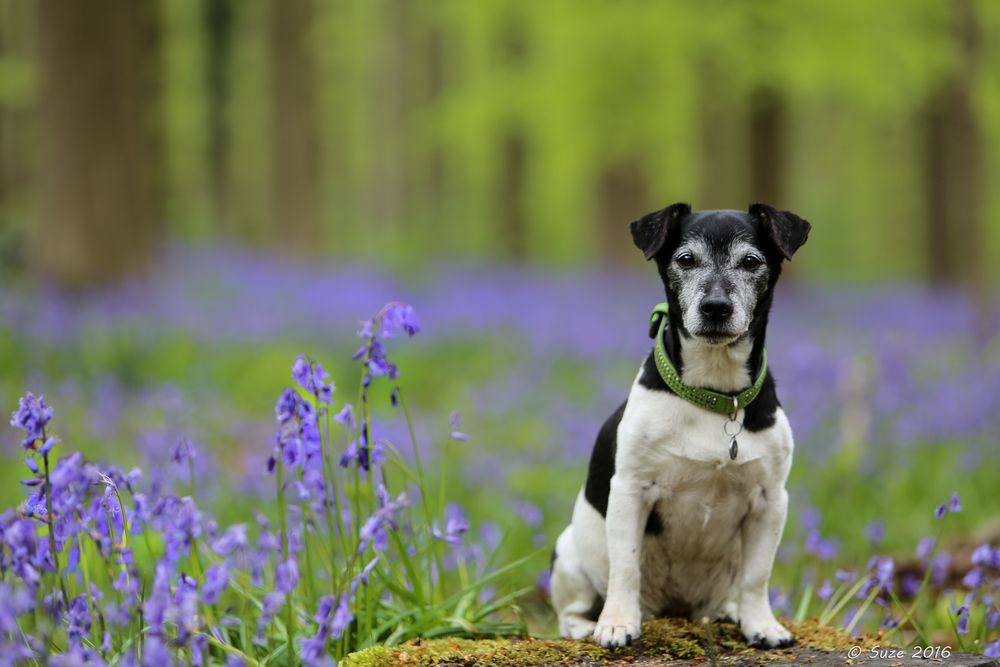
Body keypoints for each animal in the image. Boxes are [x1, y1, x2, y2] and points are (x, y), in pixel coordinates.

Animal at [548, 202, 812, 648]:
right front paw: (617, 624)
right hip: (567, 555)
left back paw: (728, 612)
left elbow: (757, 576)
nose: (716, 307)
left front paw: (761, 625)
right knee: (571, 612)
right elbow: (626, 567)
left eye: (751, 261)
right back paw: (588, 625)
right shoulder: (631, 491)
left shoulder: (770, 501)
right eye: (686, 259)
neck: (714, 395)